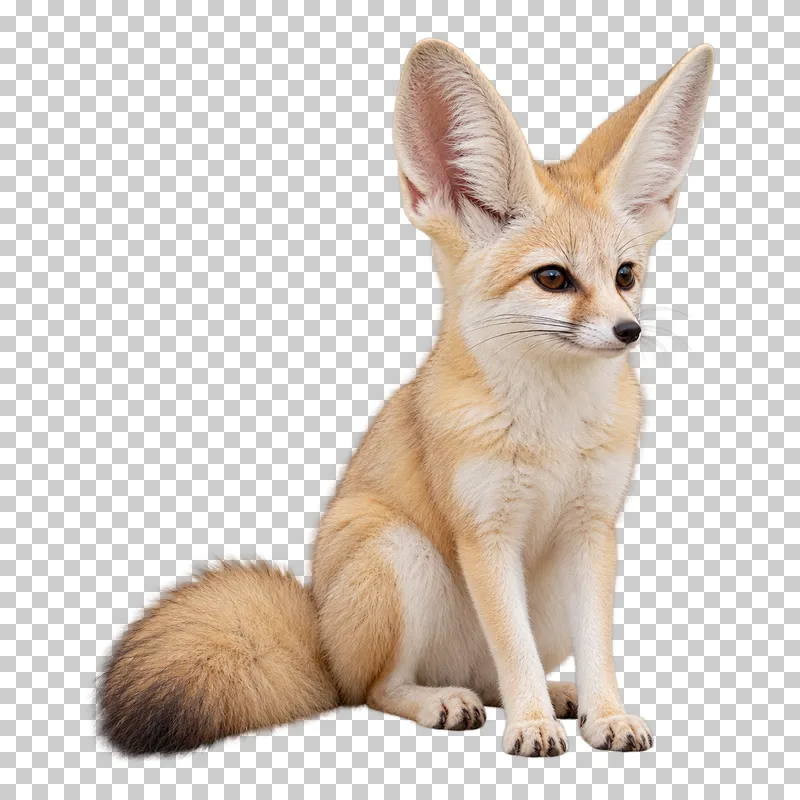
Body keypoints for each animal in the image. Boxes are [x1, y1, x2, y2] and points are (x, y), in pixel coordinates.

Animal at [98, 39, 714, 758]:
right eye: (553, 278)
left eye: (625, 276)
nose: (629, 331)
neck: (551, 432)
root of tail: (320, 634)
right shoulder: (485, 532)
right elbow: (514, 652)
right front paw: (531, 726)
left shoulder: (594, 529)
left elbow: (597, 652)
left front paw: (604, 714)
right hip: (397, 552)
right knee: (376, 688)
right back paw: (445, 701)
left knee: (488, 678)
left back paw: (558, 698)